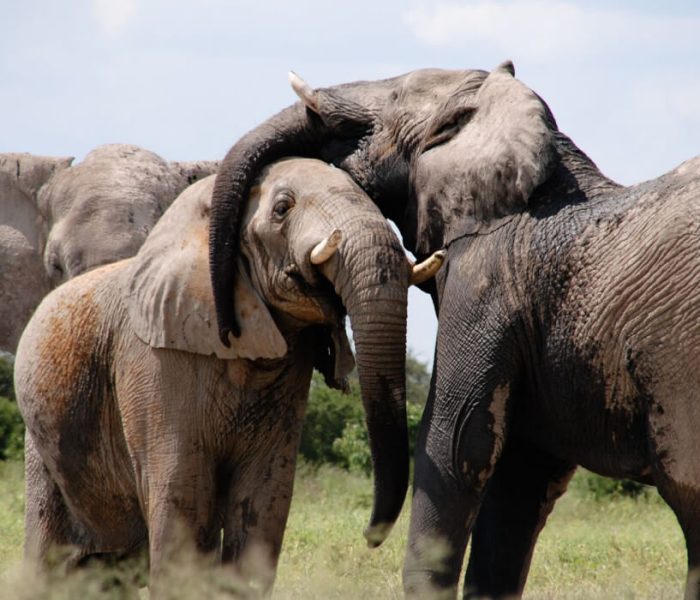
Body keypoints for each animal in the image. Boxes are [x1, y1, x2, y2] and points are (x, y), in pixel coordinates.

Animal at [15, 157, 441, 594]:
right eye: (282, 208)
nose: (369, 537)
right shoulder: (154, 361)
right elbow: (182, 496)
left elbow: (264, 498)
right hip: (42, 444)